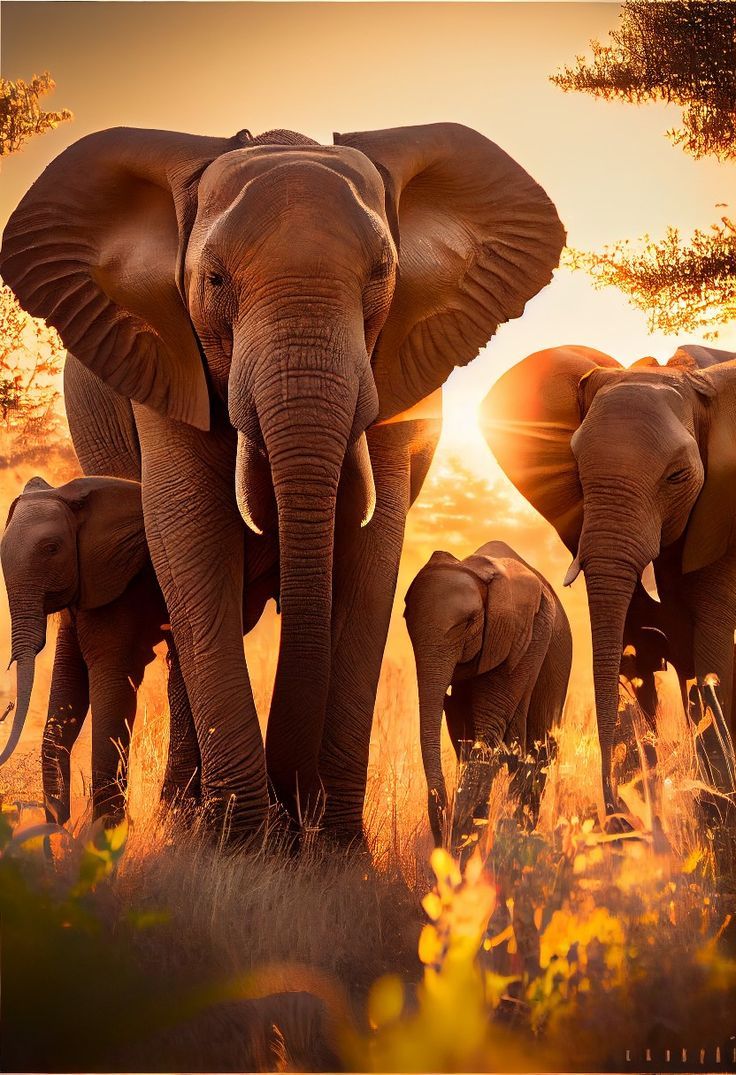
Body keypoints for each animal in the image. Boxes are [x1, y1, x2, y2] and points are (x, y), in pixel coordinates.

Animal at [404, 540, 572, 843]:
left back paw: (518, 834)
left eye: (468, 622)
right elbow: (464, 734)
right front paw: (466, 833)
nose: (444, 826)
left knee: (539, 751)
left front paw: (464, 833)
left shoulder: (525, 637)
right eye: (405, 618)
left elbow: (489, 728)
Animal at [482, 344, 736, 820]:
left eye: (677, 476)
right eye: (577, 469)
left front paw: (715, 813)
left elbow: (712, 653)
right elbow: (633, 650)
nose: (614, 809)